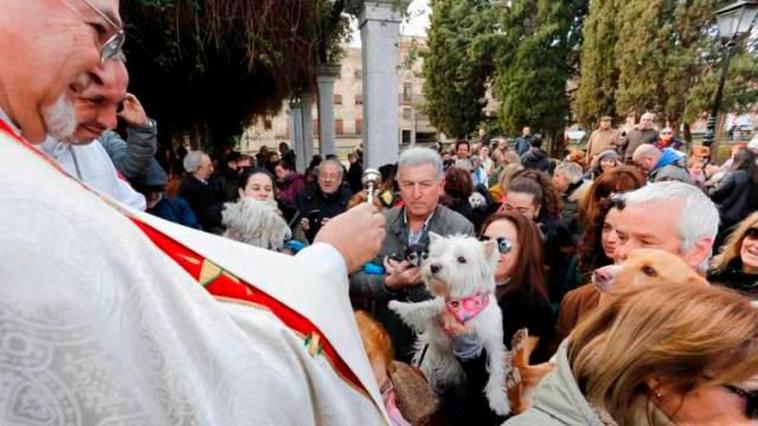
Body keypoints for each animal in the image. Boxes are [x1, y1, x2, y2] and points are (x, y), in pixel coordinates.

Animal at [392, 233, 510, 416]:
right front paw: (398, 305)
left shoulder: (493, 342)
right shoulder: (437, 312)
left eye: (462, 259)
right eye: (438, 255)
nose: (433, 266)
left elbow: (496, 370)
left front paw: (499, 402)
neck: (461, 303)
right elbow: (423, 308)